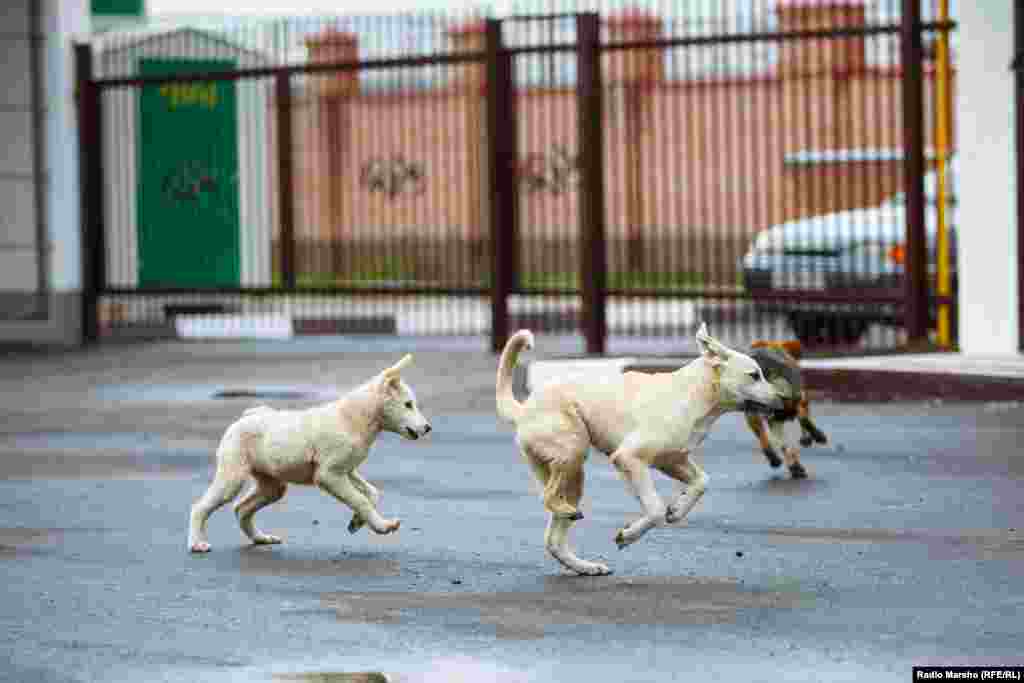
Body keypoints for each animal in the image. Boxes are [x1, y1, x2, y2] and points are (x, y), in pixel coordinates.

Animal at [186, 356, 430, 552]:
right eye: (408, 404)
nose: (427, 428)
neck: (354, 419)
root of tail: (246, 416)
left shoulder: (347, 471)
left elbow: (372, 493)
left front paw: (357, 522)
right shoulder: (329, 476)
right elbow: (360, 499)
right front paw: (382, 526)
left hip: (273, 487)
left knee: (241, 509)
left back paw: (260, 538)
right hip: (232, 479)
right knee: (200, 507)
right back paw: (197, 543)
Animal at [495, 323, 782, 573]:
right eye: (754, 375)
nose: (783, 399)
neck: (693, 395)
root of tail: (523, 409)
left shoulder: (671, 461)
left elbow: (702, 482)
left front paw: (678, 510)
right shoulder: (630, 459)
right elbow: (654, 510)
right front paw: (628, 535)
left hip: (573, 476)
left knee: (553, 540)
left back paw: (585, 567)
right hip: (573, 452)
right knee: (547, 497)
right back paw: (568, 513)